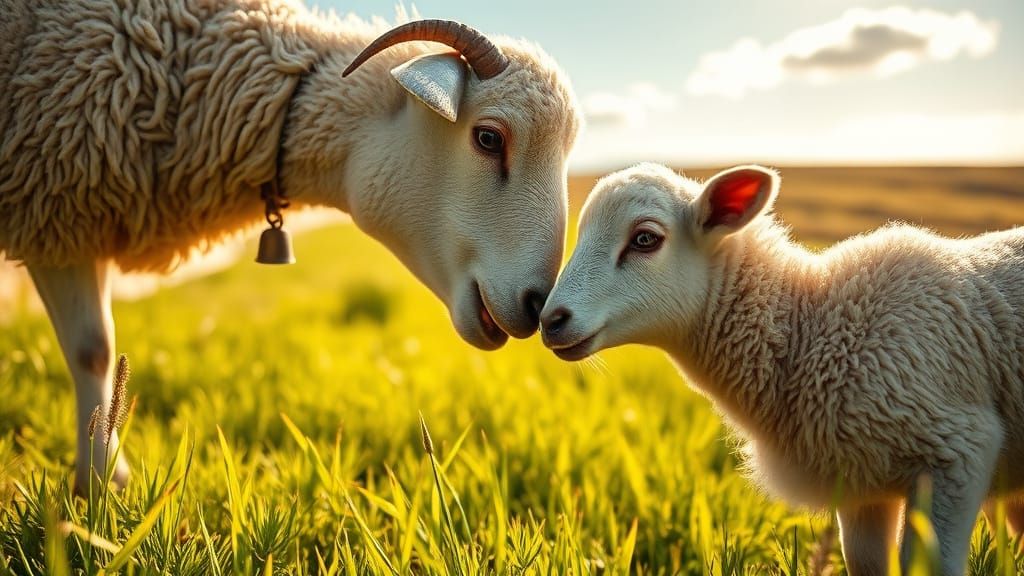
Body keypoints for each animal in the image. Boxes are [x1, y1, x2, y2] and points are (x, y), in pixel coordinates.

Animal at [1, 0, 581, 489]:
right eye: (488, 138)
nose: (538, 305)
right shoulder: (57, 212)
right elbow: (93, 350)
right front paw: (101, 485)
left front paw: (101, 482)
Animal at [540, 163, 1024, 575]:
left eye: (645, 239)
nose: (550, 320)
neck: (809, 326)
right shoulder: (861, 484)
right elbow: (866, 564)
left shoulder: (958, 449)